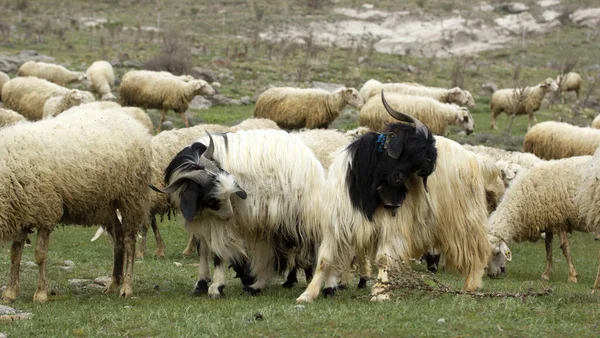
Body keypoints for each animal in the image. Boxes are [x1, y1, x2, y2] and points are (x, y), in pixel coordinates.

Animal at [1, 109, 151, 304]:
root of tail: (133, 122)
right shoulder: (23, 211)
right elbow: (15, 255)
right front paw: (10, 293)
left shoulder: (46, 210)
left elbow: (40, 255)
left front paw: (41, 293)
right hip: (106, 205)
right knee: (118, 239)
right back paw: (113, 282)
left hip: (131, 197)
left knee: (129, 241)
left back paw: (126, 287)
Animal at [152, 128, 326, 298]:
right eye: (212, 199)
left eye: (230, 194)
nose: (230, 217)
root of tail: (311, 161)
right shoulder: (203, 221)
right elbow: (203, 249)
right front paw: (201, 283)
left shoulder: (219, 223)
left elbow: (217, 252)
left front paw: (216, 287)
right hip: (270, 222)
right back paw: (260, 286)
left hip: (298, 215)